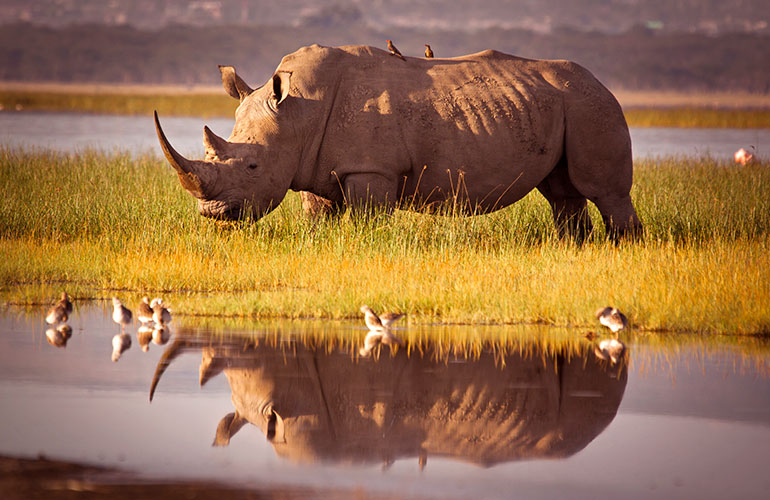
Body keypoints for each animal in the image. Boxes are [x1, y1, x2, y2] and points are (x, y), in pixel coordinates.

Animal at [155, 44, 642, 239]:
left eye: (253, 167)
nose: (213, 214)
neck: (298, 113)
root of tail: (603, 84)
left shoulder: (371, 169)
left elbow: (368, 220)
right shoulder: (312, 165)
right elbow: (317, 215)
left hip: (592, 105)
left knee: (606, 191)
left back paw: (622, 247)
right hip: (564, 104)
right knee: (562, 193)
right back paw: (573, 247)